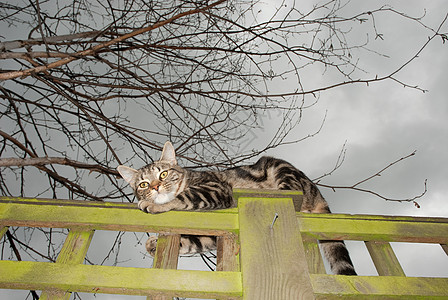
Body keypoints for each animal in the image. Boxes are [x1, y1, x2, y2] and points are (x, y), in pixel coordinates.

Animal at [116, 141, 356, 274]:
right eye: (143, 184)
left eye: (163, 174)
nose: (155, 187)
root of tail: (318, 193)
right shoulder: (210, 234)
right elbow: (191, 241)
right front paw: (153, 243)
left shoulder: (214, 188)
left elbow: (182, 197)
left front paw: (152, 204)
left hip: (280, 170)